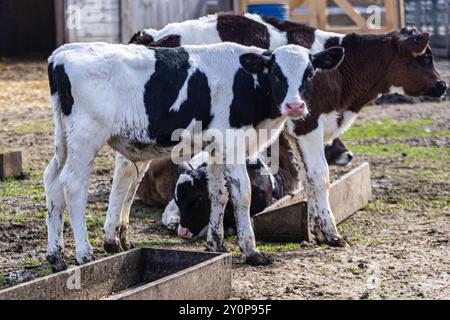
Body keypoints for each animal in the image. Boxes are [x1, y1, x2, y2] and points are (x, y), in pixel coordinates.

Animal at [44, 41, 344, 268]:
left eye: (309, 73)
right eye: (276, 74)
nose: (295, 106)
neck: (246, 83)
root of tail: (62, 53)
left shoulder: (215, 149)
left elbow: (218, 193)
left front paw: (216, 243)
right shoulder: (233, 144)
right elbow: (242, 195)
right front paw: (251, 251)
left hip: (64, 142)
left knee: (52, 181)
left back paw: (56, 255)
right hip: (85, 139)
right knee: (72, 184)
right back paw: (84, 254)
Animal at [130, 13, 446, 246]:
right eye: (426, 57)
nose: (443, 85)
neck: (339, 70)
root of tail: (152, 36)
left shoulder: (295, 131)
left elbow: (305, 179)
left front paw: (316, 228)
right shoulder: (308, 124)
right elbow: (319, 176)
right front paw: (331, 233)